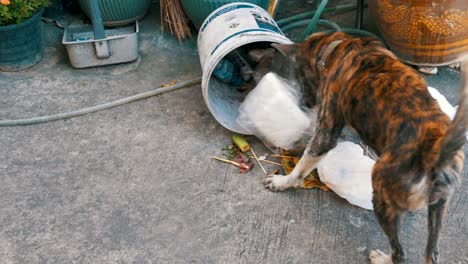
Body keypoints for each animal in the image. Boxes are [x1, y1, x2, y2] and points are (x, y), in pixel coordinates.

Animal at [266, 32, 466, 262]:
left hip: (382, 196)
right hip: (438, 210)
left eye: (300, 76)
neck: (336, 47)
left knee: (400, 253)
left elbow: (302, 165)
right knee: (431, 254)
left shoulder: (325, 132)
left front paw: (283, 182)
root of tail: (436, 149)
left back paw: (382, 258)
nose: (306, 104)